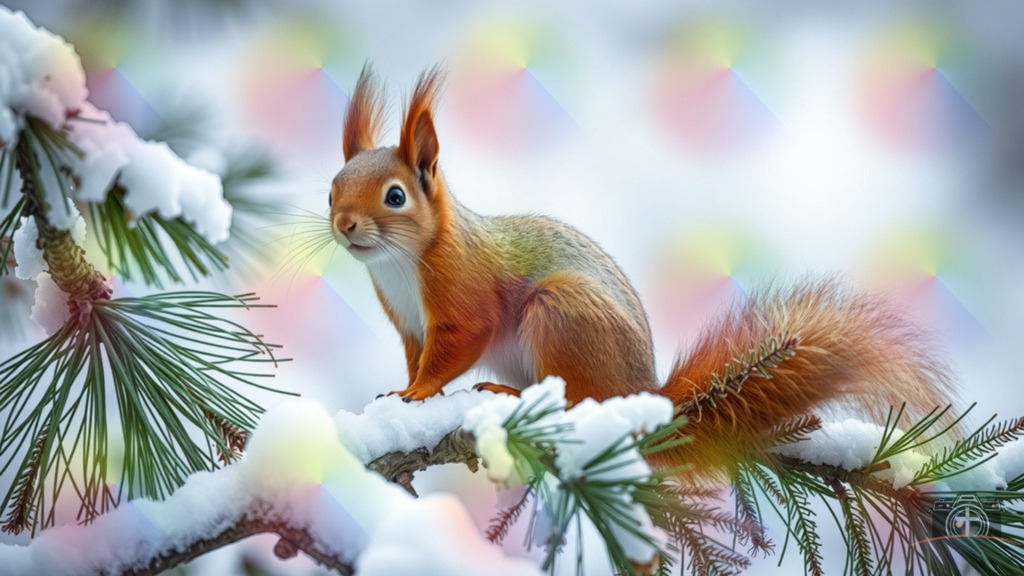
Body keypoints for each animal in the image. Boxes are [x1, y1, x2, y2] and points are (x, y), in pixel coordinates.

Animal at [328, 65, 956, 476]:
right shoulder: (410, 325)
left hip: (561, 313)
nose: (343, 224)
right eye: (332, 187)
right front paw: (400, 394)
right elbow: (417, 357)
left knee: (580, 402)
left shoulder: (461, 296)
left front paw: (418, 395)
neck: (401, 265)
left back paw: (510, 392)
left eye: (395, 196)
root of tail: (645, 395)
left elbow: (456, 346)